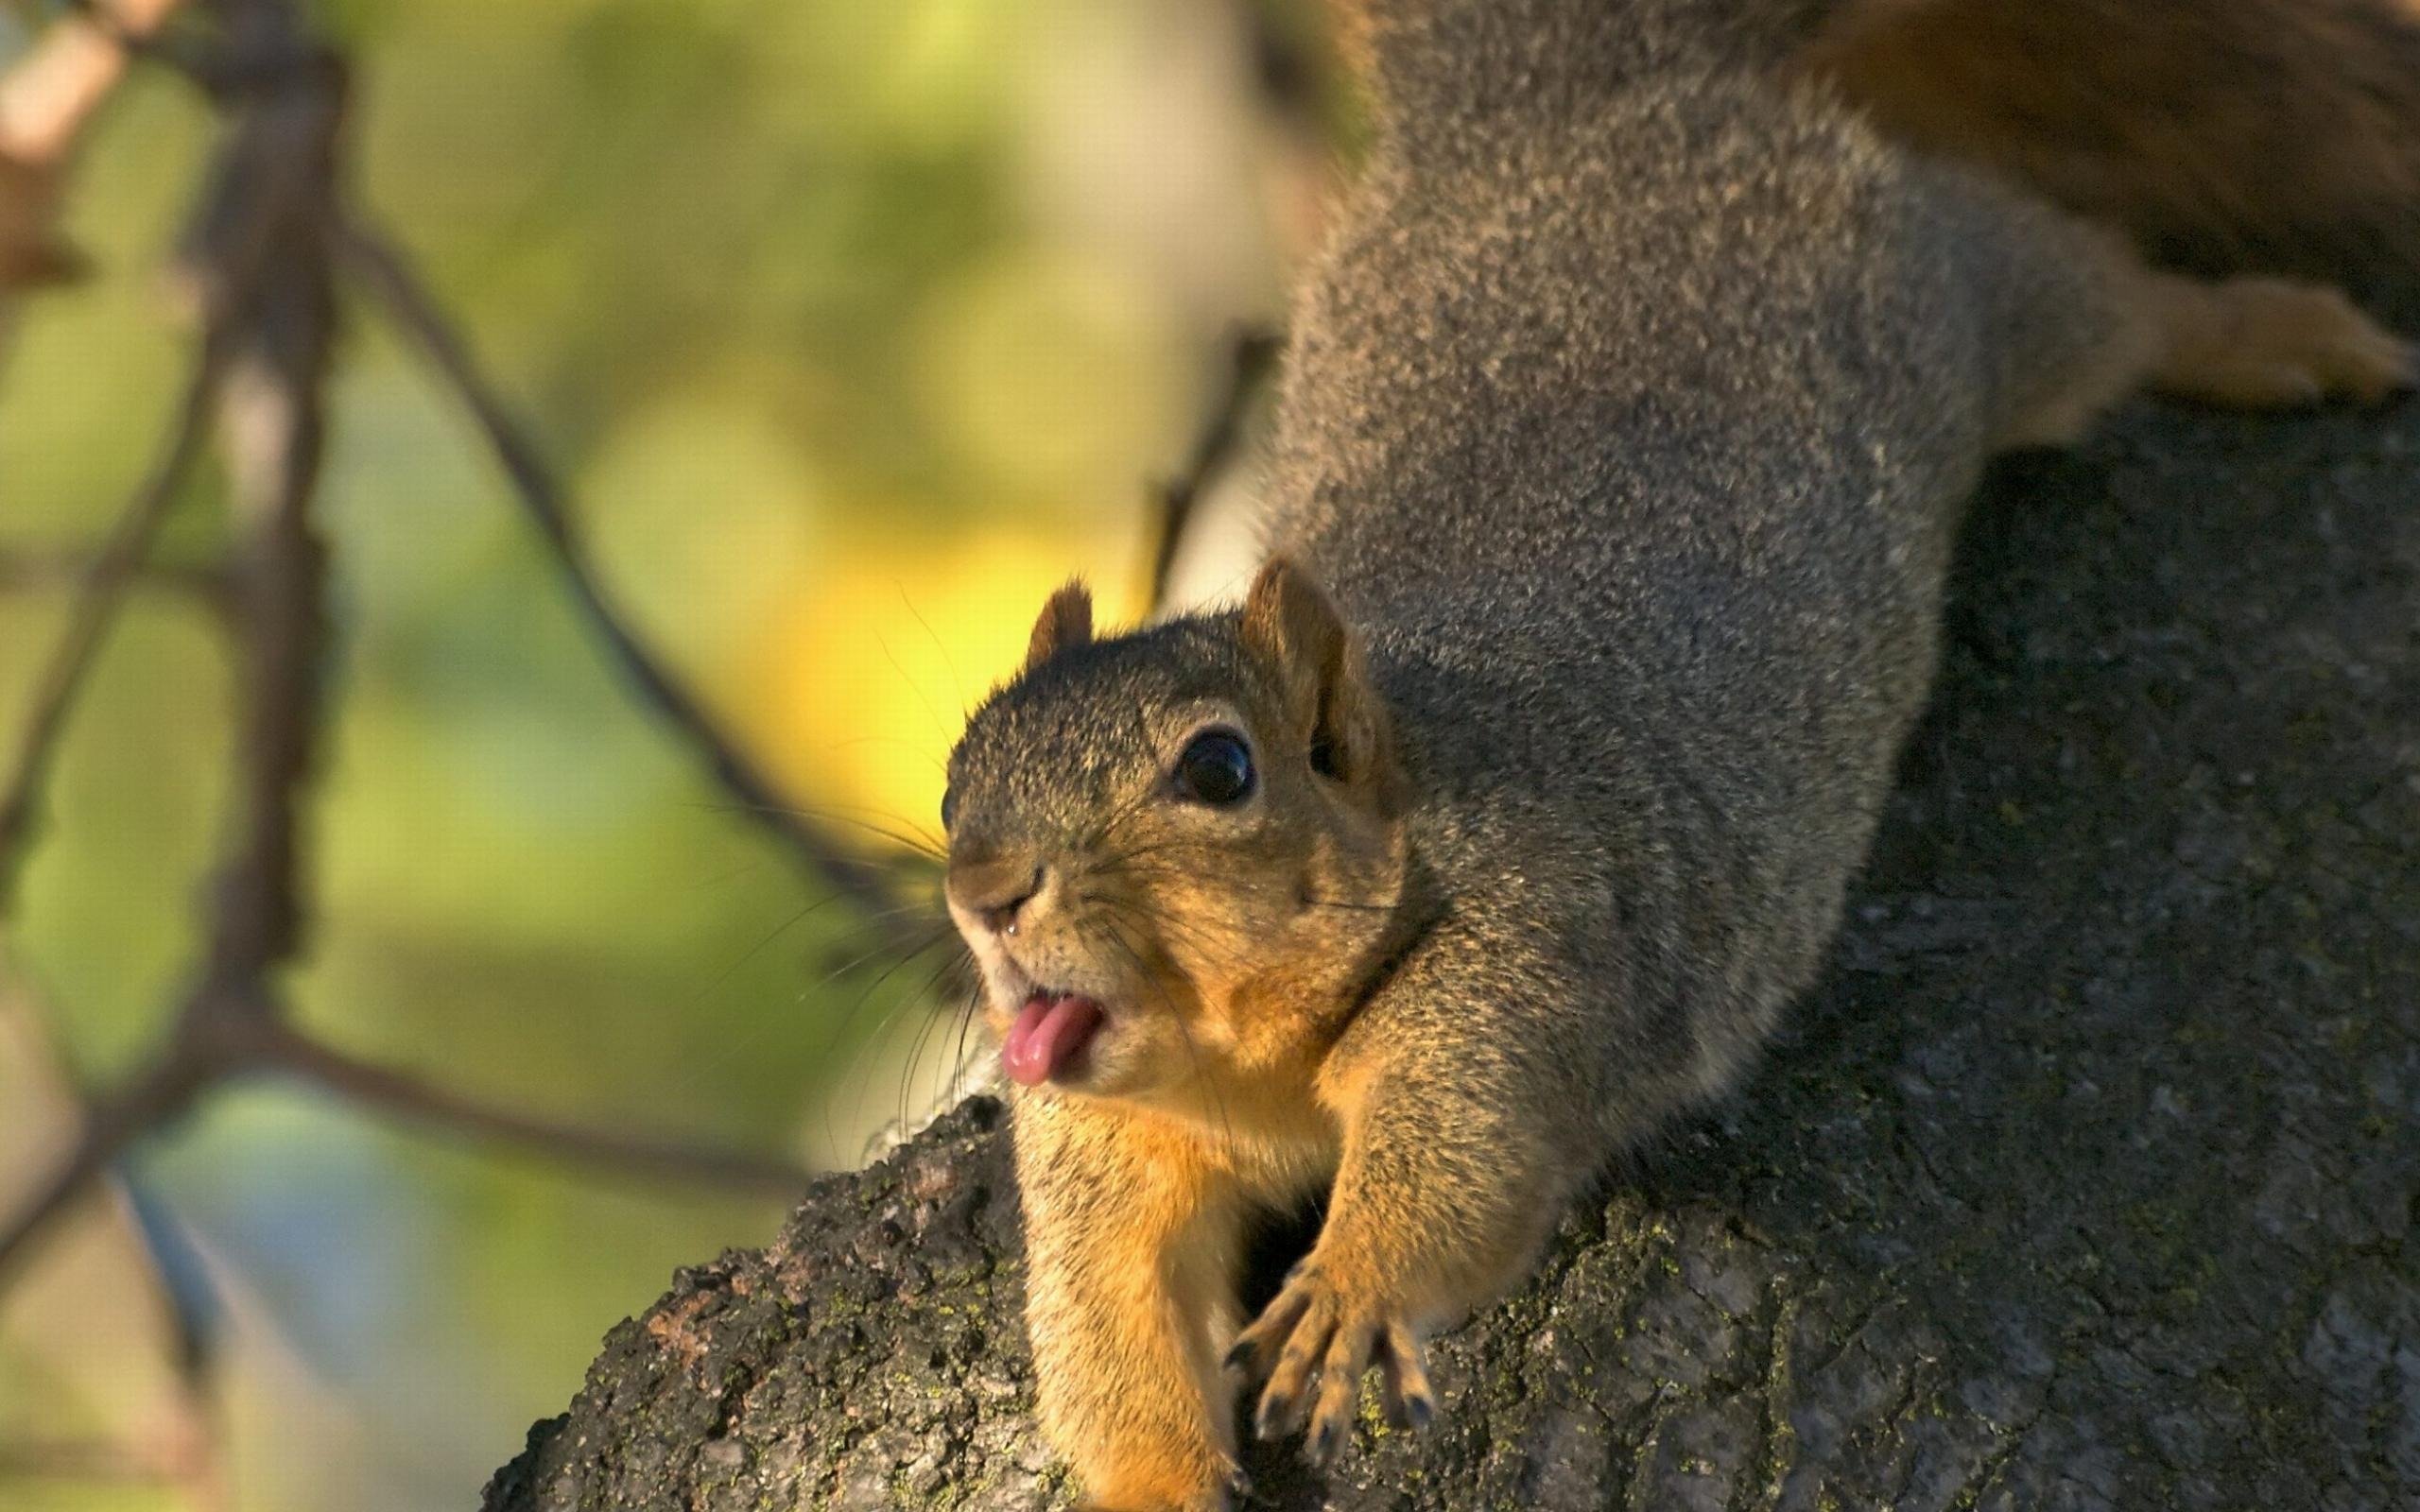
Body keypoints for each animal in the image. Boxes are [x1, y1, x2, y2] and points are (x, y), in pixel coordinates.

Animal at [934, 3, 2410, 1509]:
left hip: (1954, 285)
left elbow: (1463, 1171)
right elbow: (1109, 1333)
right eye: (955, 780)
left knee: (2097, 292)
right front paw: (1156, 1478)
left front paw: (1350, 1289)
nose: (985, 891)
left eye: (1220, 772)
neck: (1245, 1066)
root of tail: (1562, 105)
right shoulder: (1104, 1148)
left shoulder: (1532, 956)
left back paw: (2273, 331)